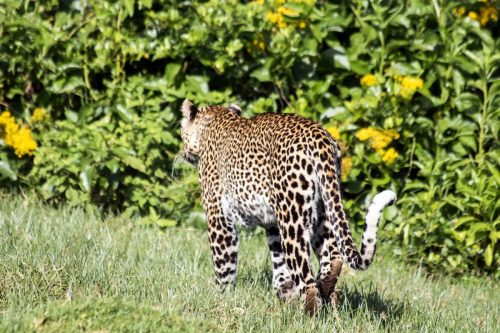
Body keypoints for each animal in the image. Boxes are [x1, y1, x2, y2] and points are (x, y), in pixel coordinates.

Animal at [178, 98, 396, 314]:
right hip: (323, 207)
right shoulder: (273, 221)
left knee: (306, 279)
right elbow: (278, 258)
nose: (182, 152)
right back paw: (325, 294)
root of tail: (319, 136)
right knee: (333, 257)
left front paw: (222, 297)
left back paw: (309, 314)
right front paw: (284, 292)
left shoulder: (218, 214)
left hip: (293, 217)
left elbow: (224, 262)